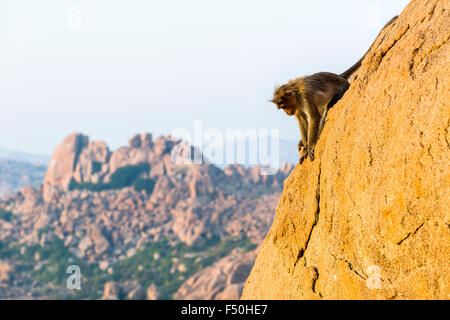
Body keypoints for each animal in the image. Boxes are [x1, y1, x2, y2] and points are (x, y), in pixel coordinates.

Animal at [270, 15, 398, 164]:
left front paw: (310, 146)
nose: (287, 113)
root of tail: (339, 76)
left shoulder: (306, 96)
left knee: (327, 108)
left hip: (342, 88)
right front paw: (305, 146)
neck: (296, 91)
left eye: (284, 106)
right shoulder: (297, 105)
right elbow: (302, 119)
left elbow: (314, 117)